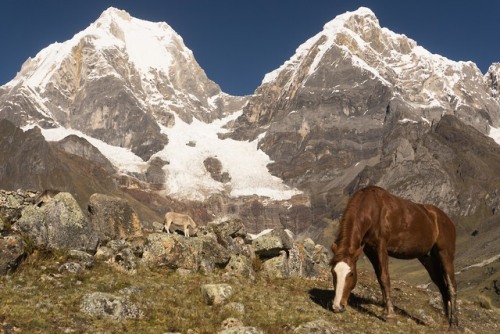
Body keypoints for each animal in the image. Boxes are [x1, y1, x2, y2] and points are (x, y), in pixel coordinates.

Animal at [330, 187, 458, 328]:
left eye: (351, 274)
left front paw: (390, 315)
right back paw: (446, 320)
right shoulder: (370, 250)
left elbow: (384, 278)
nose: (337, 306)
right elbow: (380, 278)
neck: (372, 209)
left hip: (445, 254)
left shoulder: (381, 246)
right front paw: (385, 310)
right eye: (333, 272)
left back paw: (453, 323)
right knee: (442, 286)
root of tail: (448, 220)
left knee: (451, 286)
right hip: (427, 258)